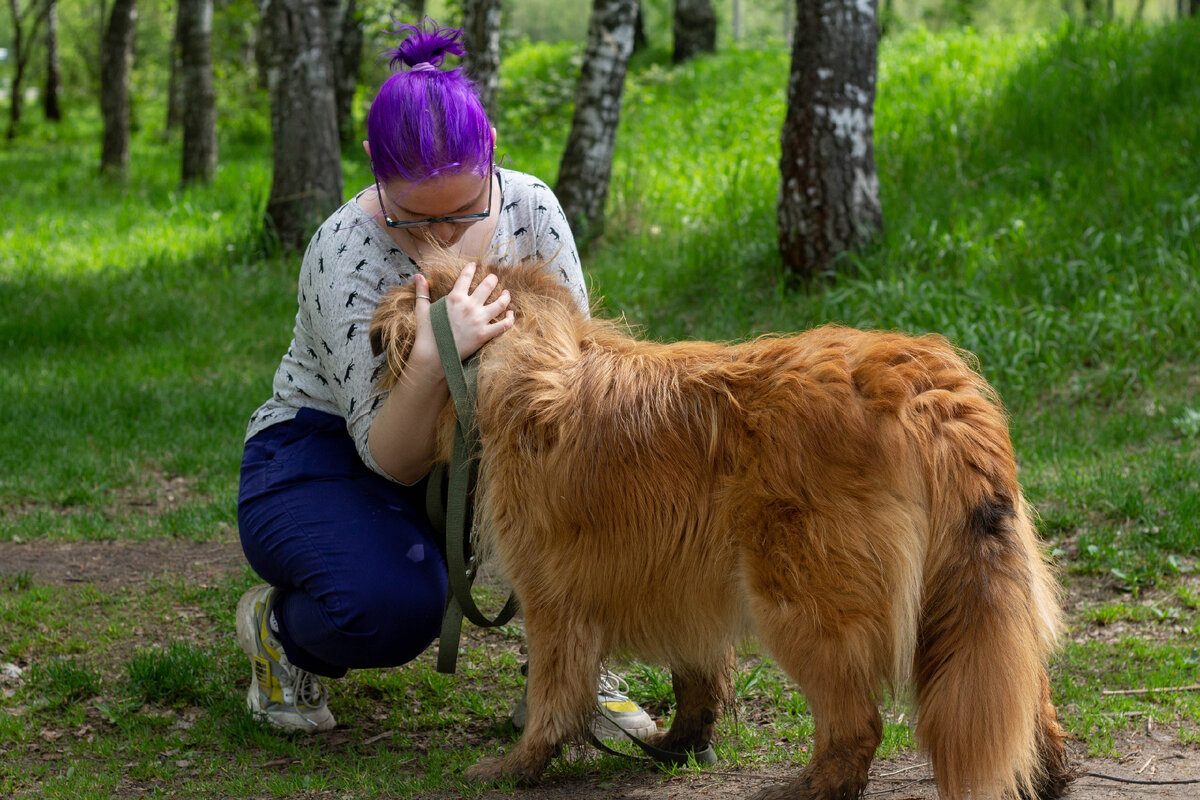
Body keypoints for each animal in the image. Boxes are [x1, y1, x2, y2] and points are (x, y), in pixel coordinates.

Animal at [369, 256, 1075, 800]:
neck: (524, 355)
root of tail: (924, 383)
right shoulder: (681, 582)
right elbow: (696, 675)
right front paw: (681, 743)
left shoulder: (553, 598)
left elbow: (551, 694)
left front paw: (518, 766)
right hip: (967, 583)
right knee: (1021, 690)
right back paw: (1045, 775)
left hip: (801, 601)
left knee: (857, 725)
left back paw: (809, 788)